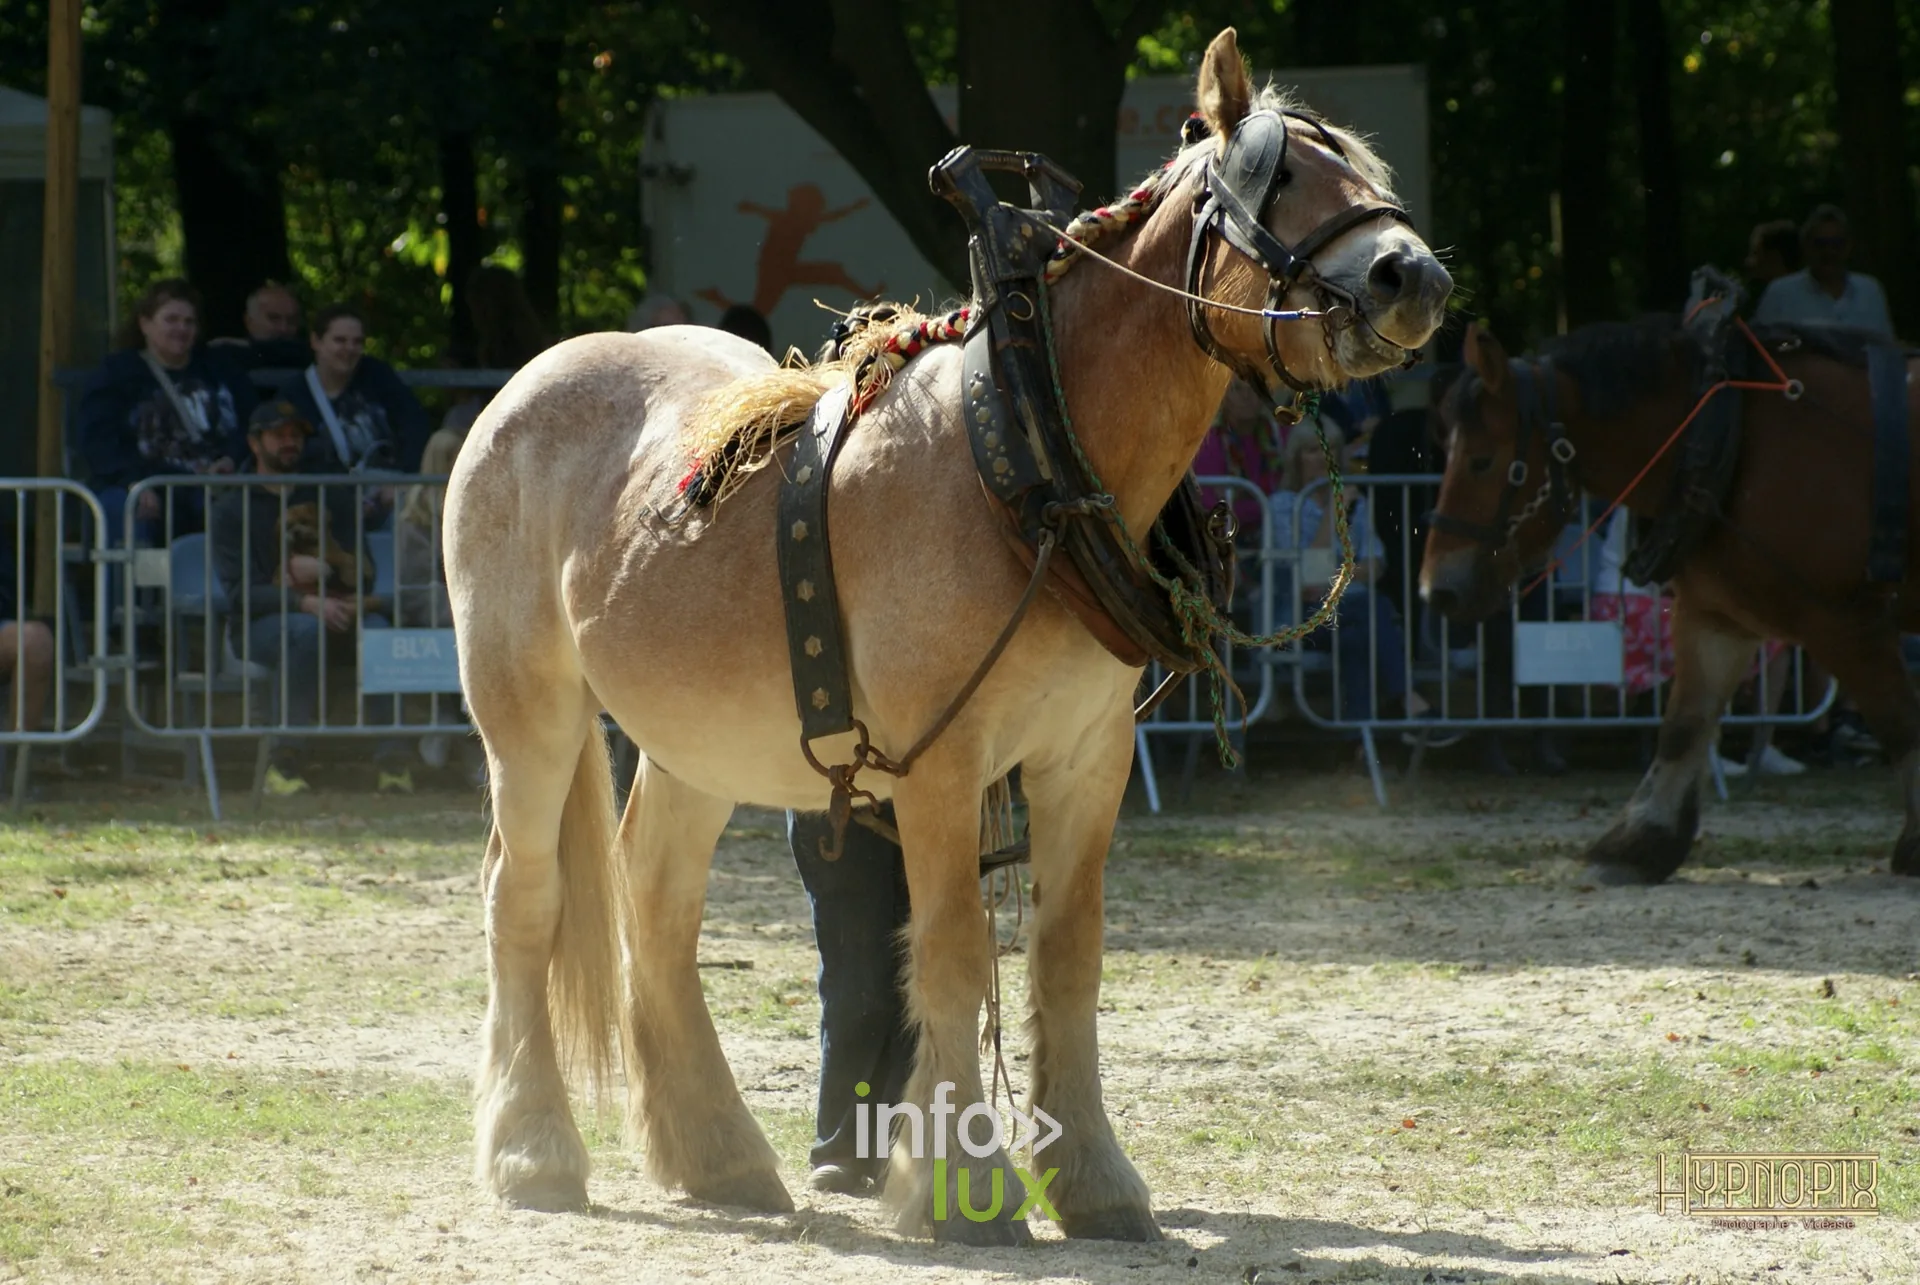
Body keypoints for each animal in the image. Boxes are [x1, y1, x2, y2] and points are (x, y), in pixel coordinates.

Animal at [443, 27, 1450, 1245]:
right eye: (1280, 172)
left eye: (1360, 164)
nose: (1415, 276)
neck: (1022, 461)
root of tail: (528, 382)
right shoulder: (937, 766)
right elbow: (957, 951)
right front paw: (966, 1189)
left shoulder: (1086, 758)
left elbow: (1066, 956)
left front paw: (1094, 1177)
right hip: (529, 712)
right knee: (526, 897)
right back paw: (533, 1150)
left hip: (696, 745)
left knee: (657, 905)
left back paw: (718, 1155)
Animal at [1422, 315, 1920, 885]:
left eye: (1481, 461)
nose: (1436, 588)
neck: (1730, 434)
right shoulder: (1717, 619)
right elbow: (1684, 726)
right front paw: (1640, 841)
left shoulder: (1847, 623)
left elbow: (1901, 723)